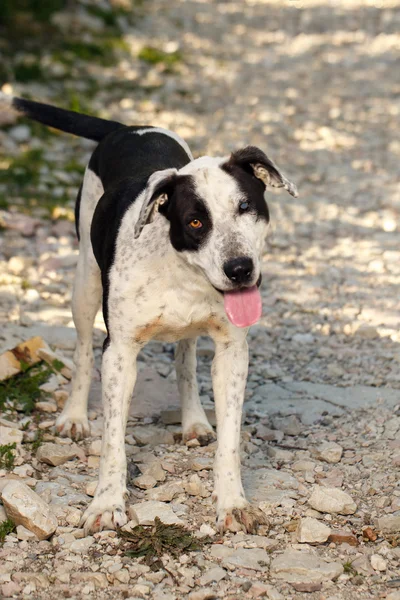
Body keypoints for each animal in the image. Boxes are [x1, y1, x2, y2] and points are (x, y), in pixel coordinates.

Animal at [1, 92, 296, 536]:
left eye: (246, 206)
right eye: (195, 221)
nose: (240, 269)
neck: (179, 271)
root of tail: (127, 128)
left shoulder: (232, 351)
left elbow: (229, 440)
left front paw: (232, 502)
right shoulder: (120, 352)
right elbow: (112, 440)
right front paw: (106, 504)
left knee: (185, 361)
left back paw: (194, 421)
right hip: (85, 285)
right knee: (83, 351)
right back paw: (73, 416)